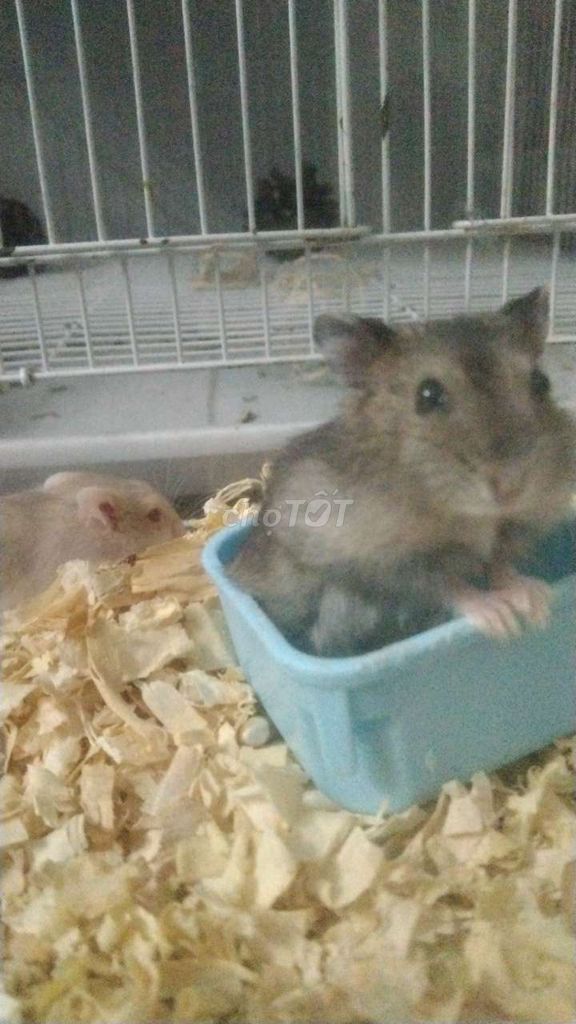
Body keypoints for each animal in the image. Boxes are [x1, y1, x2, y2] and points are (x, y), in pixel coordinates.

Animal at [230, 287, 576, 656]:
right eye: (427, 394)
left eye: (541, 382)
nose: (510, 487)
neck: (475, 516)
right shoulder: (386, 564)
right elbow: (449, 584)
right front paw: (502, 621)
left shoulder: (511, 533)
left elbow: (499, 565)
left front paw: (537, 603)